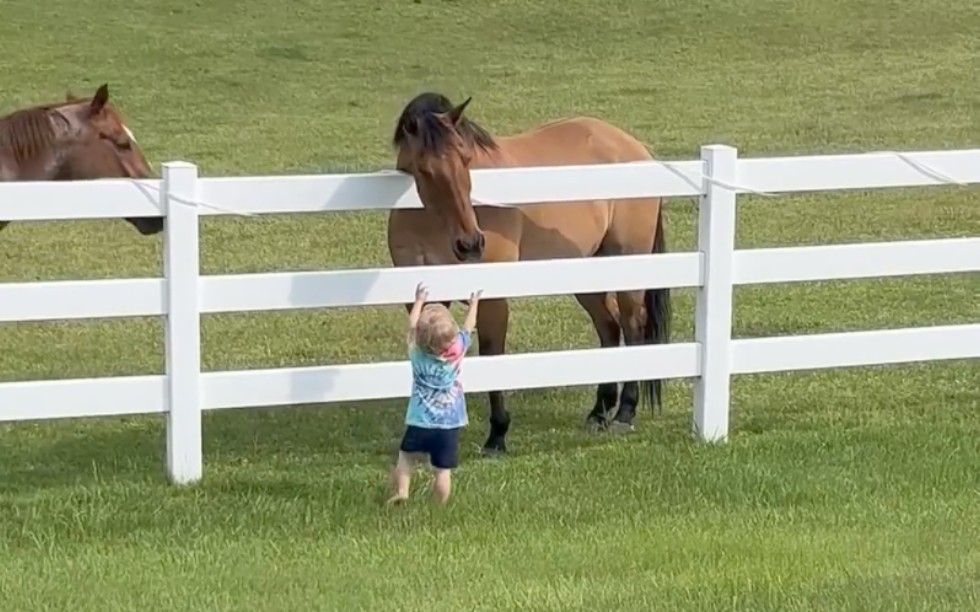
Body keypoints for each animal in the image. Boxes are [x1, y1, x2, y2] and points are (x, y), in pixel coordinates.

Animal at [386, 92, 668, 454]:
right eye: (423, 168)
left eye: (466, 158)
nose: (471, 243)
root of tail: (635, 148)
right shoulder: (422, 300)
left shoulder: (492, 301)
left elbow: (492, 355)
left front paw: (497, 435)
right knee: (609, 326)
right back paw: (599, 411)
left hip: (627, 268)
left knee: (633, 327)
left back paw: (625, 412)